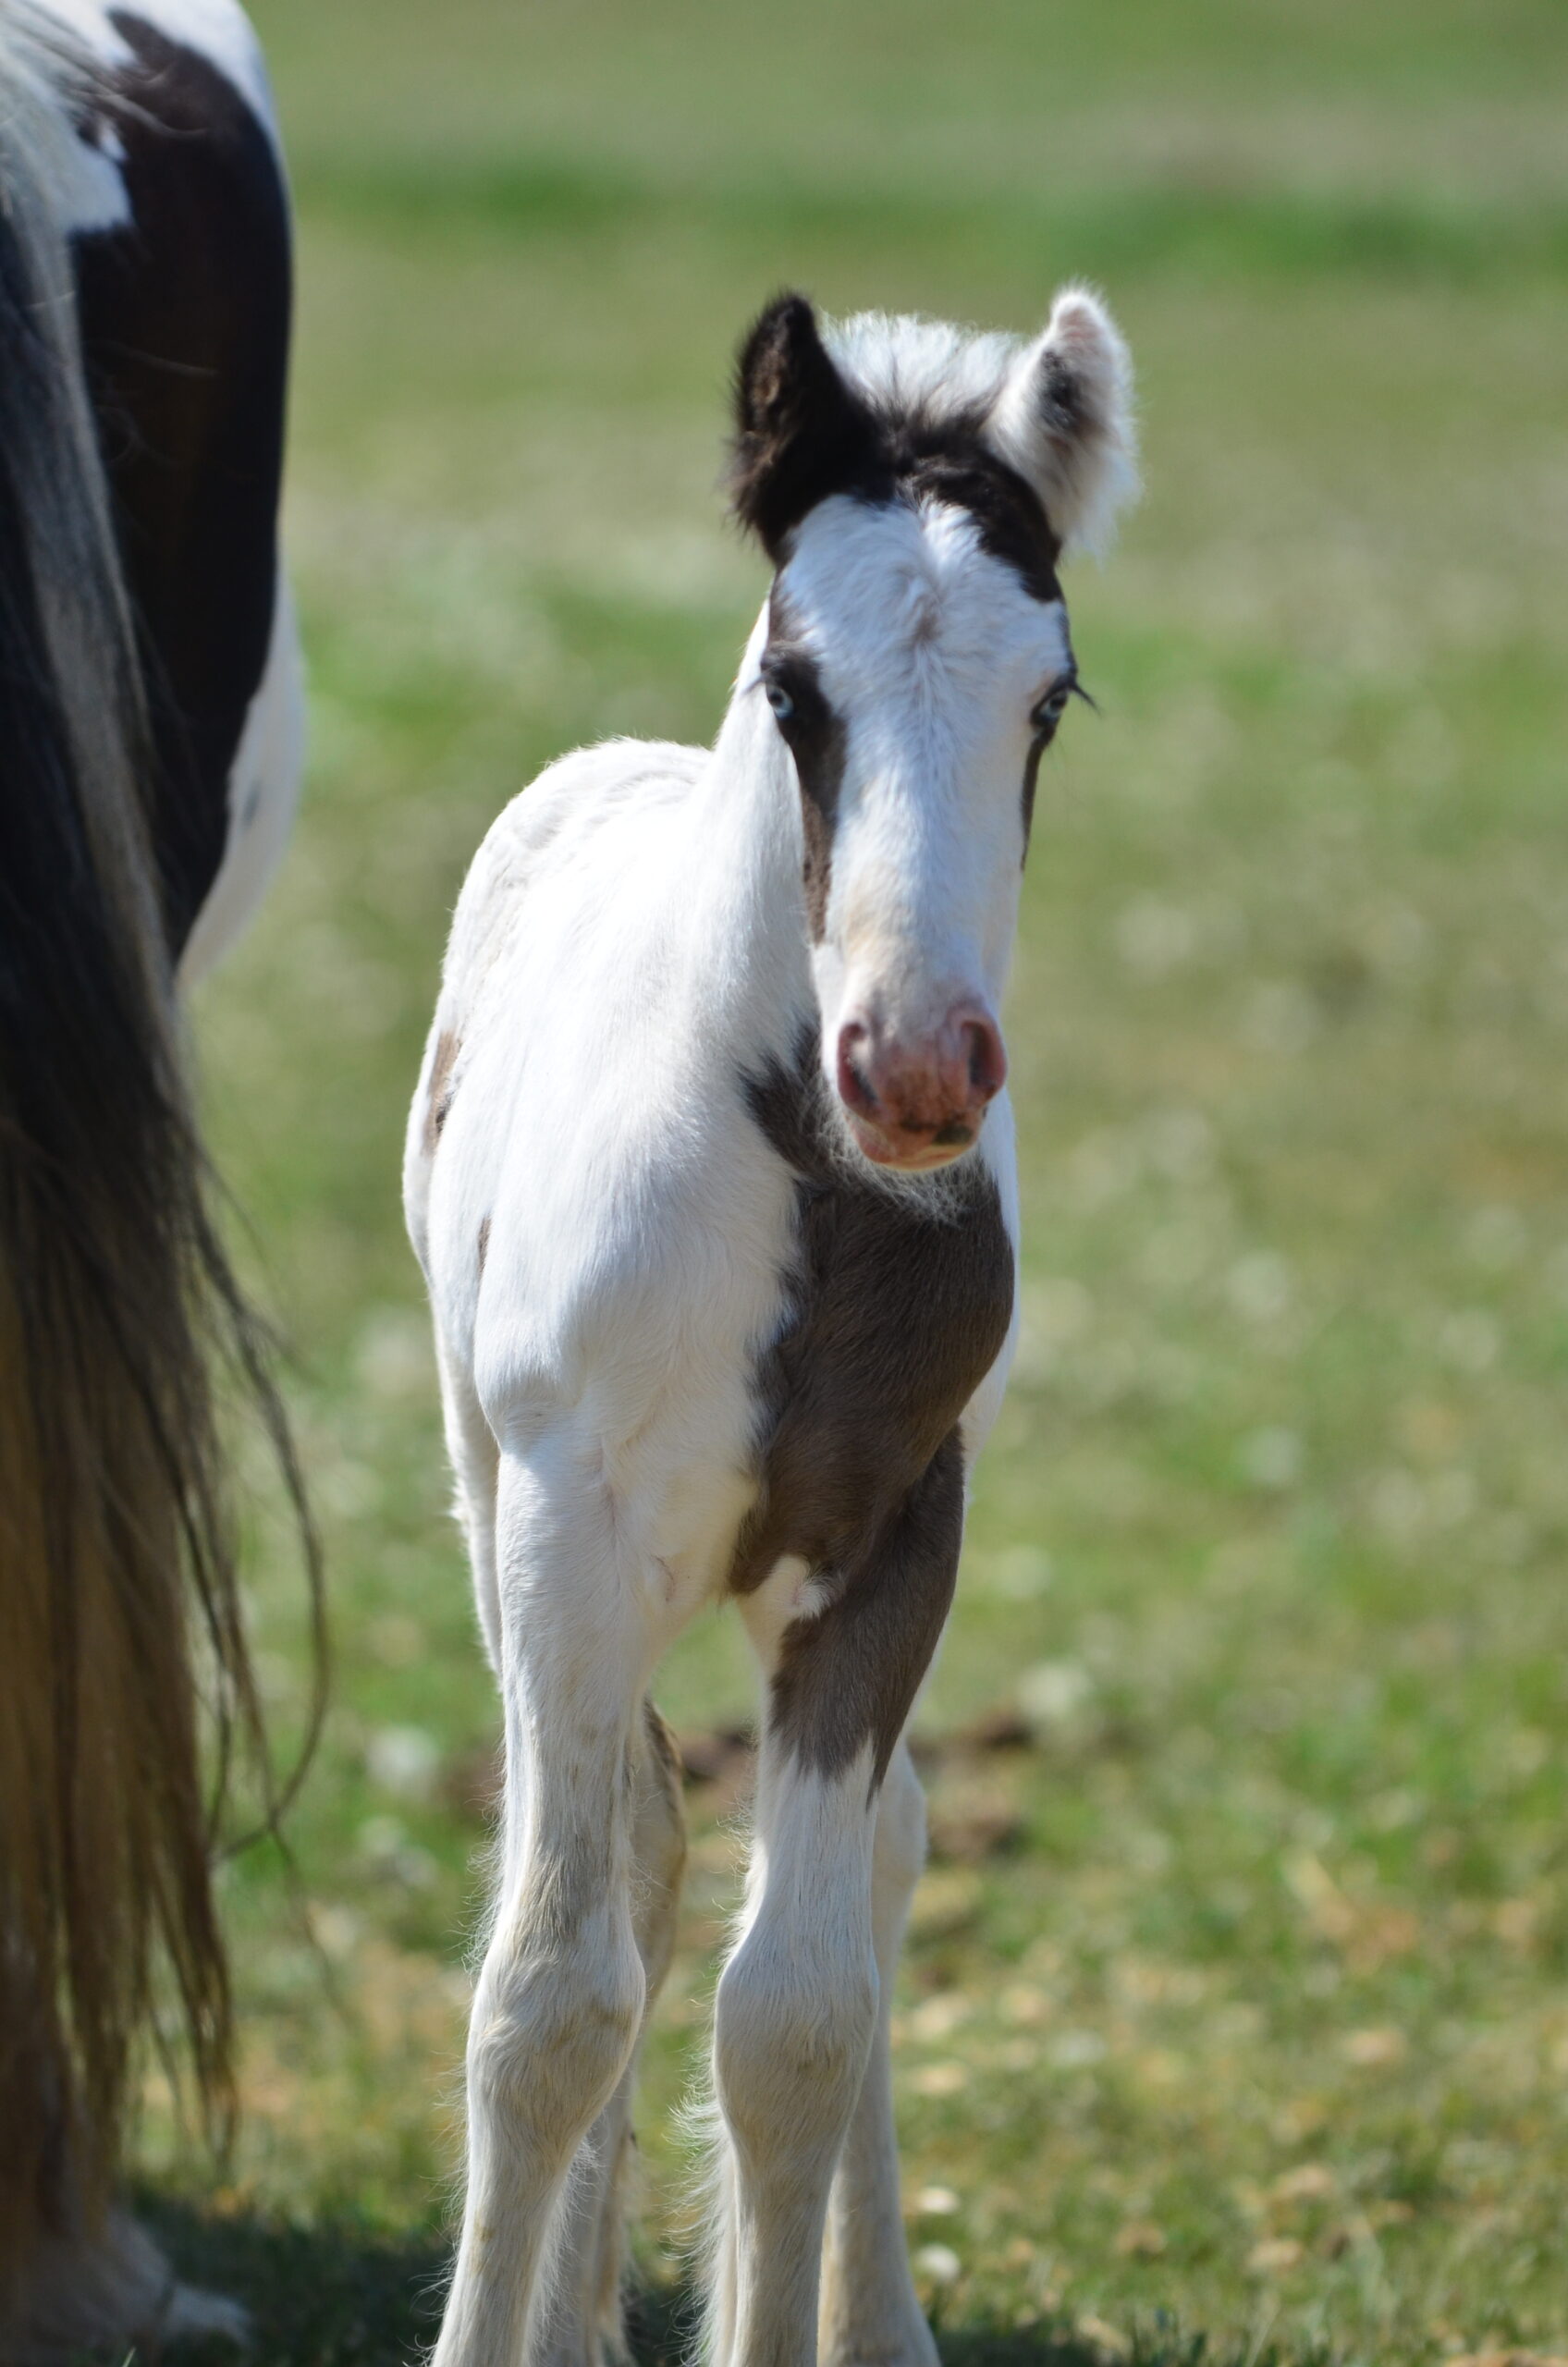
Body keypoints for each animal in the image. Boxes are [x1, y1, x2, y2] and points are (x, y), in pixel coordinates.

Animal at [405, 286, 1141, 2357]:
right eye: (795, 689)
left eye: (1046, 700)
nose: (915, 1065)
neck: (803, 1189)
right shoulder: (572, 1535)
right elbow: (549, 1992)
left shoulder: (893, 1540)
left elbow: (801, 2011)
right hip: (490, 1503)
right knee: (624, 1863)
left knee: (863, 1873)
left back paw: (870, 2312)